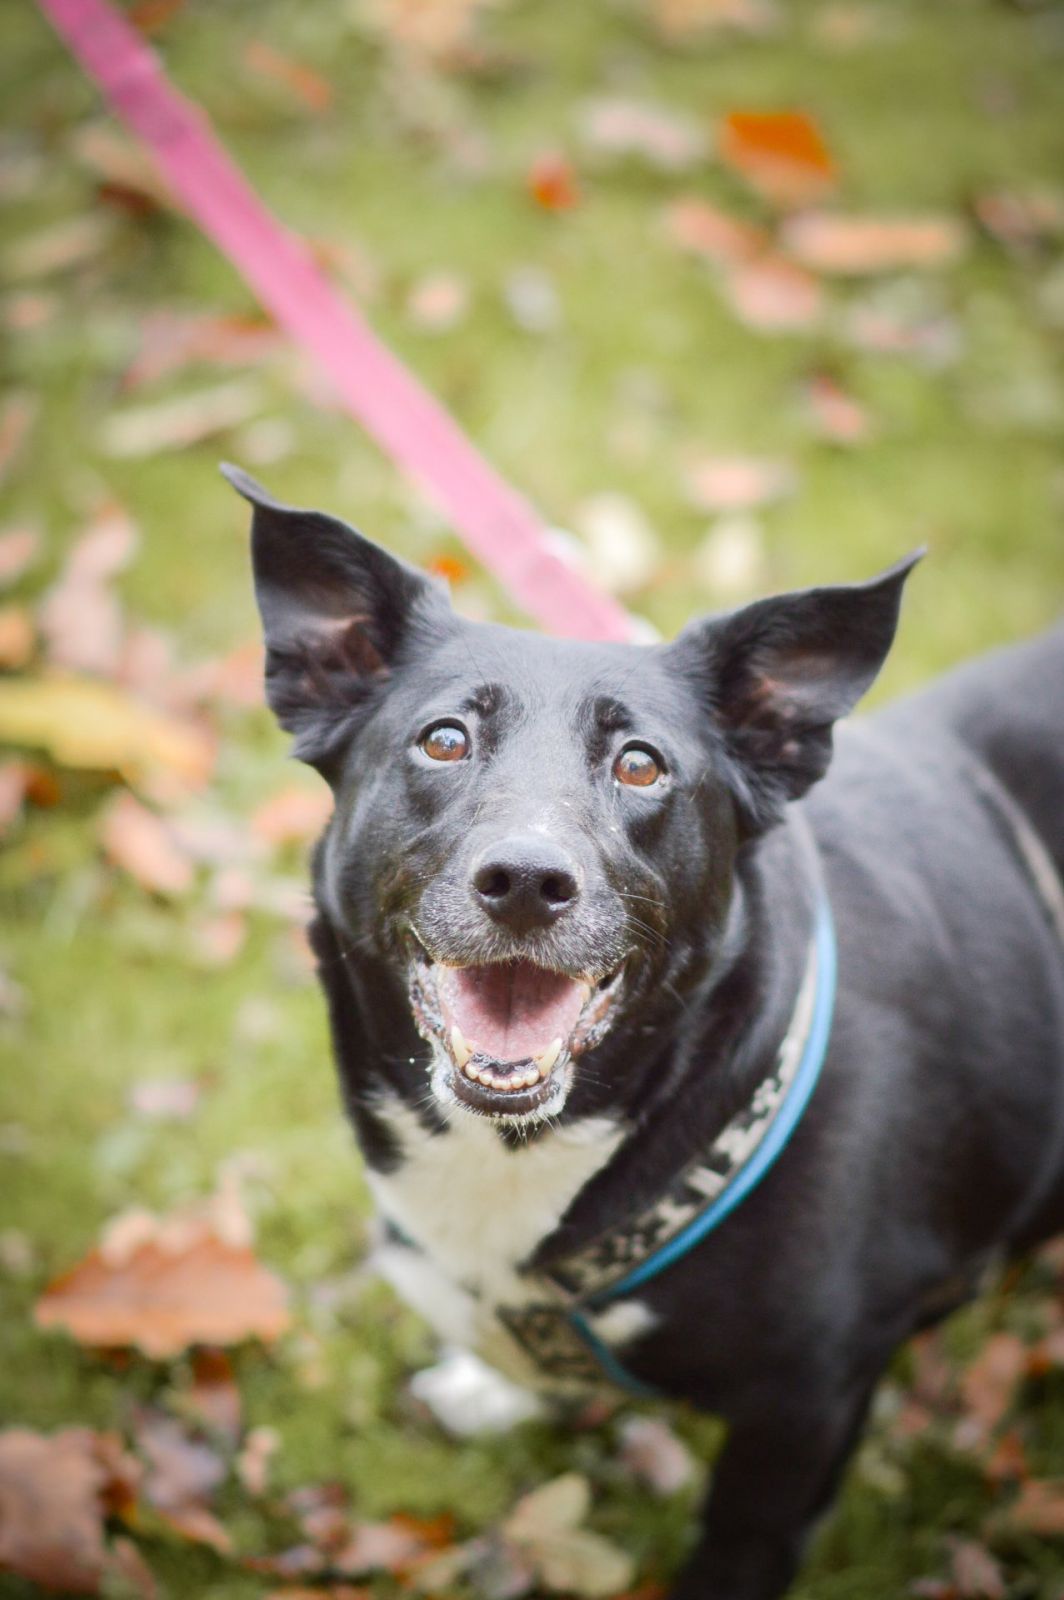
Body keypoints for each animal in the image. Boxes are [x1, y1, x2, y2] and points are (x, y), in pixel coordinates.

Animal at [224, 464, 1064, 1600]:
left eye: (639, 765)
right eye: (443, 739)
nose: (525, 881)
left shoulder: (802, 1419)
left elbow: (733, 1551)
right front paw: (497, 1388)